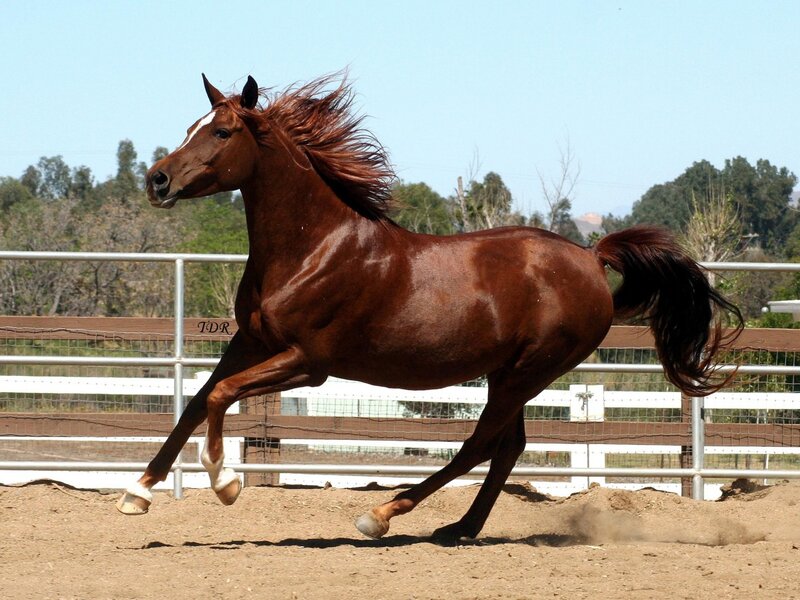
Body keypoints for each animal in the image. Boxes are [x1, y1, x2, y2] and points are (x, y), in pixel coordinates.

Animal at [117, 73, 743, 543]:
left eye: (222, 132)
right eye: (190, 127)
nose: (157, 180)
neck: (313, 249)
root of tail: (592, 257)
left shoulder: (307, 362)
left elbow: (220, 395)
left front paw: (223, 480)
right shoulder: (251, 341)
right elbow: (195, 400)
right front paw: (136, 493)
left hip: (528, 370)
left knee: (480, 445)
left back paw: (382, 516)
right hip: (510, 373)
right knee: (506, 447)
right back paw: (459, 528)